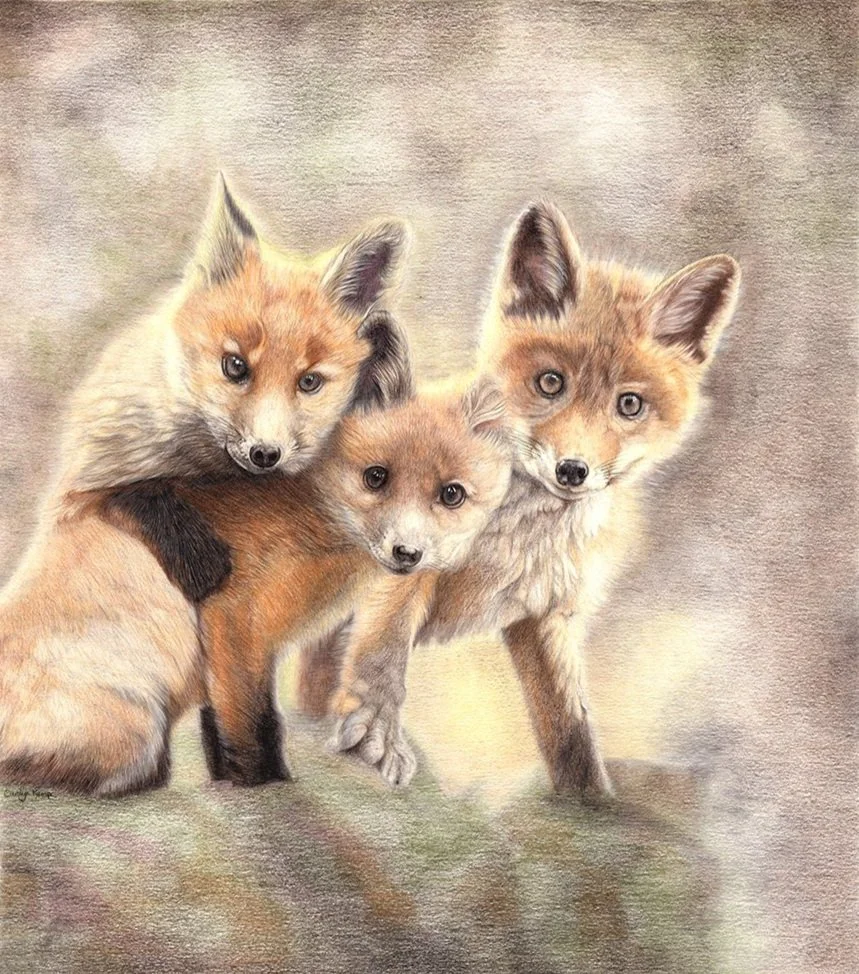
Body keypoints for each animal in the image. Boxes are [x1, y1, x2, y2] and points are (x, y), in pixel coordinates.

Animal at [0, 176, 411, 795]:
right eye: (235, 367)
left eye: (310, 382)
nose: (265, 454)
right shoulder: (90, 481)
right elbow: (130, 498)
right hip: (133, 734)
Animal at [300, 202, 741, 799]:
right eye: (551, 383)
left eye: (629, 404)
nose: (573, 470)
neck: (516, 541)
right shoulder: (400, 568)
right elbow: (382, 656)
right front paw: (375, 736)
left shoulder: (545, 616)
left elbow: (571, 732)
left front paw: (590, 802)